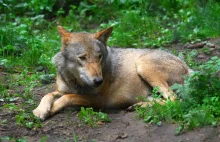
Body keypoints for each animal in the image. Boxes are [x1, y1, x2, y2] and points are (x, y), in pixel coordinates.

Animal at [33, 25, 191, 120]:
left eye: (99, 57)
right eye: (82, 58)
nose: (99, 81)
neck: (76, 82)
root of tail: (188, 68)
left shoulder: (100, 100)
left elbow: (68, 97)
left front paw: (51, 109)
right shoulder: (62, 90)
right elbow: (48, 95)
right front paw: (40, 110)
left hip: (143, 65)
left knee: (175, 100)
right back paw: (138, 105)